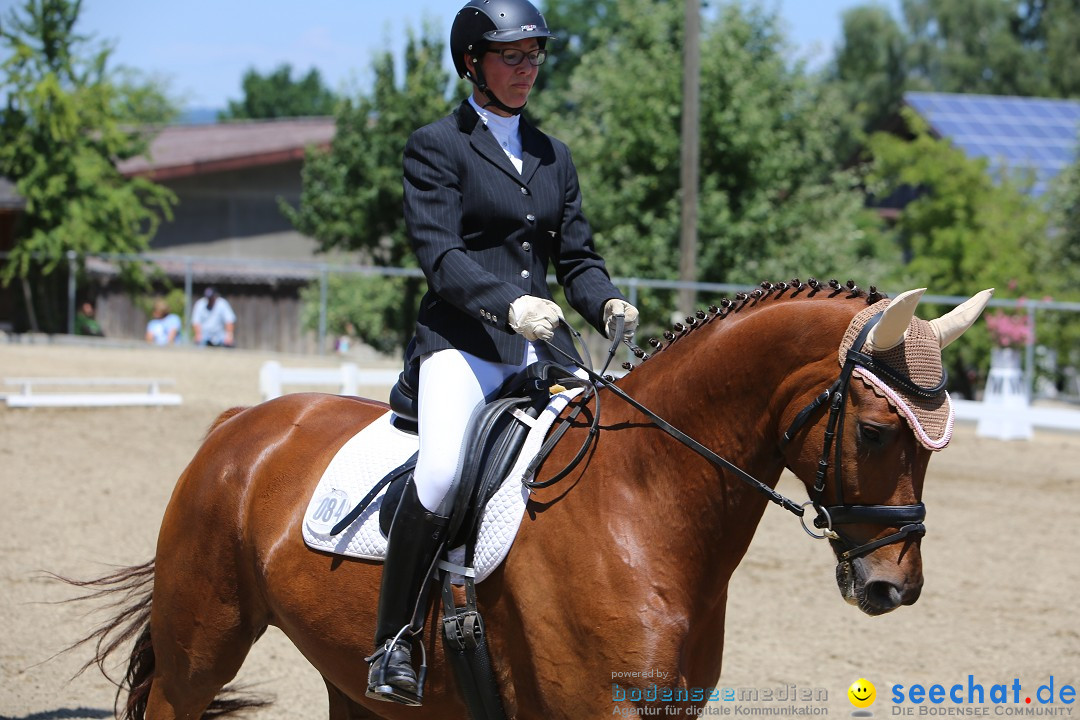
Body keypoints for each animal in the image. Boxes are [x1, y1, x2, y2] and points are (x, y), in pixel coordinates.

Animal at [67, 278, 989, 716]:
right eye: (876, 431)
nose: (892, 587)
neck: (641, 500)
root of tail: (240, 426)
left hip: (351, 682)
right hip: (202, 643)